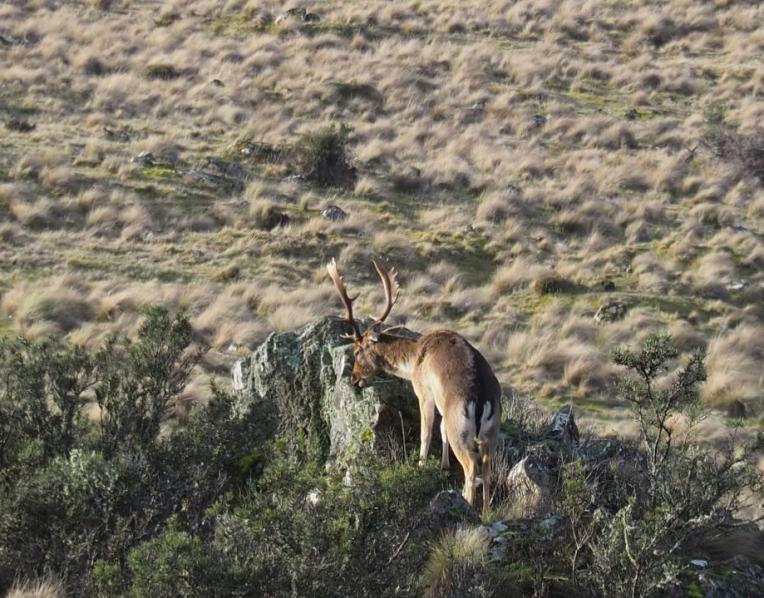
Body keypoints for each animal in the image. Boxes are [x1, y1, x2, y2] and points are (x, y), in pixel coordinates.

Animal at [326, 258, 501, 511]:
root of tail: (481, 398)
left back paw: (468, 505)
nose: (353, 379)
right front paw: (443, 465)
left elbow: (426, 432)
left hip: (460, 426)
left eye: (358, 351)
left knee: (471, 466)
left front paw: (420, 466)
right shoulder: (440, 403)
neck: (414, 360)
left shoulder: (424, 391)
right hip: (491, 430)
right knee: (487, 466)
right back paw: (487, 510)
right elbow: (441, 429)